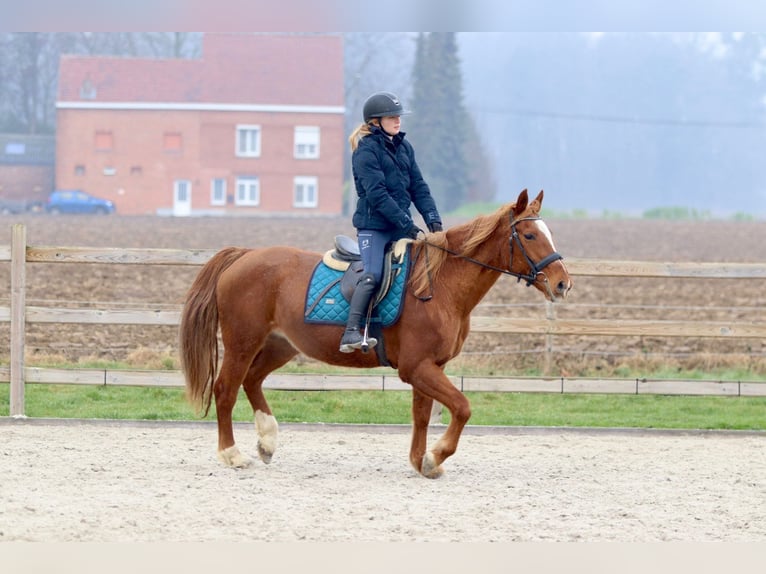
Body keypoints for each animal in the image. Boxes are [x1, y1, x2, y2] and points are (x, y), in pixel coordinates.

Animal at [179, 188, 572, 478]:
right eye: (530, 234)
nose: (563, 283)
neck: (439, 285)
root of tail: (243, 256)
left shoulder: (431, 367)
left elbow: (422, 414)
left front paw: (420, 461)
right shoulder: (416, 367)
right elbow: (462, 407)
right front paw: (435, 456)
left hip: (280, 345)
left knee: (253, 381)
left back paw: (267, 441)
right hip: (242, 343)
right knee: (226, 389)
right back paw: (232, 454)